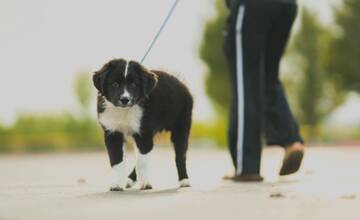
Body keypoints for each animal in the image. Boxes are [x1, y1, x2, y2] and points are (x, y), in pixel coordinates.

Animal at [93, 58, 194, 191]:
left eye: (133, 85)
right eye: (114, 84)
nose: (125, 99)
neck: (124, 111)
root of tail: (181, 82)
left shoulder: (144, 134)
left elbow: (142, 162)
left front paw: (145, 183)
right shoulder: (112, 133)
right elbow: (117, 161)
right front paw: (117, 184)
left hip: (181, 127)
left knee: (180, 155)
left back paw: (184, 180)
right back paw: (129, 180)